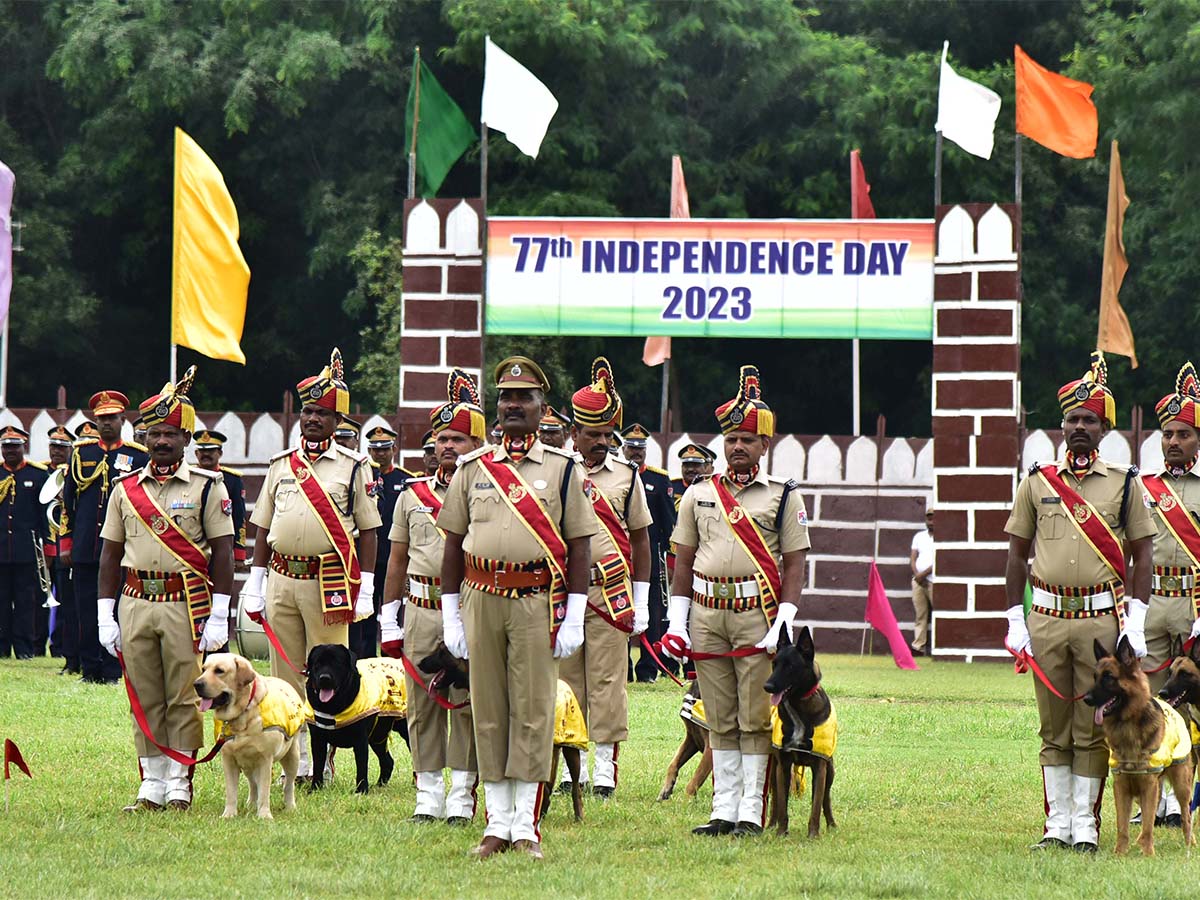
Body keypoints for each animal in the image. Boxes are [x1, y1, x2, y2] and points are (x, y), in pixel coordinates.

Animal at [194, 652, 307, 820]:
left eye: (219, 670)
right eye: (204, 669)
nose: (196, 684)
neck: (242, 713)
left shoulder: (265, 759)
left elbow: (265, 790)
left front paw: (264, 815)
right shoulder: (229, 760)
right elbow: (231, 792)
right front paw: (229, 814)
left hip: (292, 755)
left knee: (289, 784)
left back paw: (290, 807)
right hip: (247, 764)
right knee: (253, 784)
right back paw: (251, 804)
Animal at [763, 628, 840, 840]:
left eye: (790, 666)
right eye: (774, 664)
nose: (768, 687)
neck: (798, 704)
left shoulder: (820, 767)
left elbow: (816, 806)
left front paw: (813, 834)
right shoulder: (783, 765)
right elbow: (782, 805)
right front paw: (781, 832)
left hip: (830, 771)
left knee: (826, 799)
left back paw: (831, 824)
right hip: (774, 770)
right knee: (775, 800)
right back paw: (771, 824)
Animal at [1089, 633, 1190, 859]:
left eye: (1108, 677)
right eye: (1095, 677)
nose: (1086, 699)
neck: (1128, 724)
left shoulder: (1148, 785)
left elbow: (1148, 825)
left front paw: (1148, 853)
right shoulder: (1122, 786)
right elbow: (1123, 826)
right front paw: (1120, 853)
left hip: (1181, 786)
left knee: (1186, 816)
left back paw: (1190, 845)